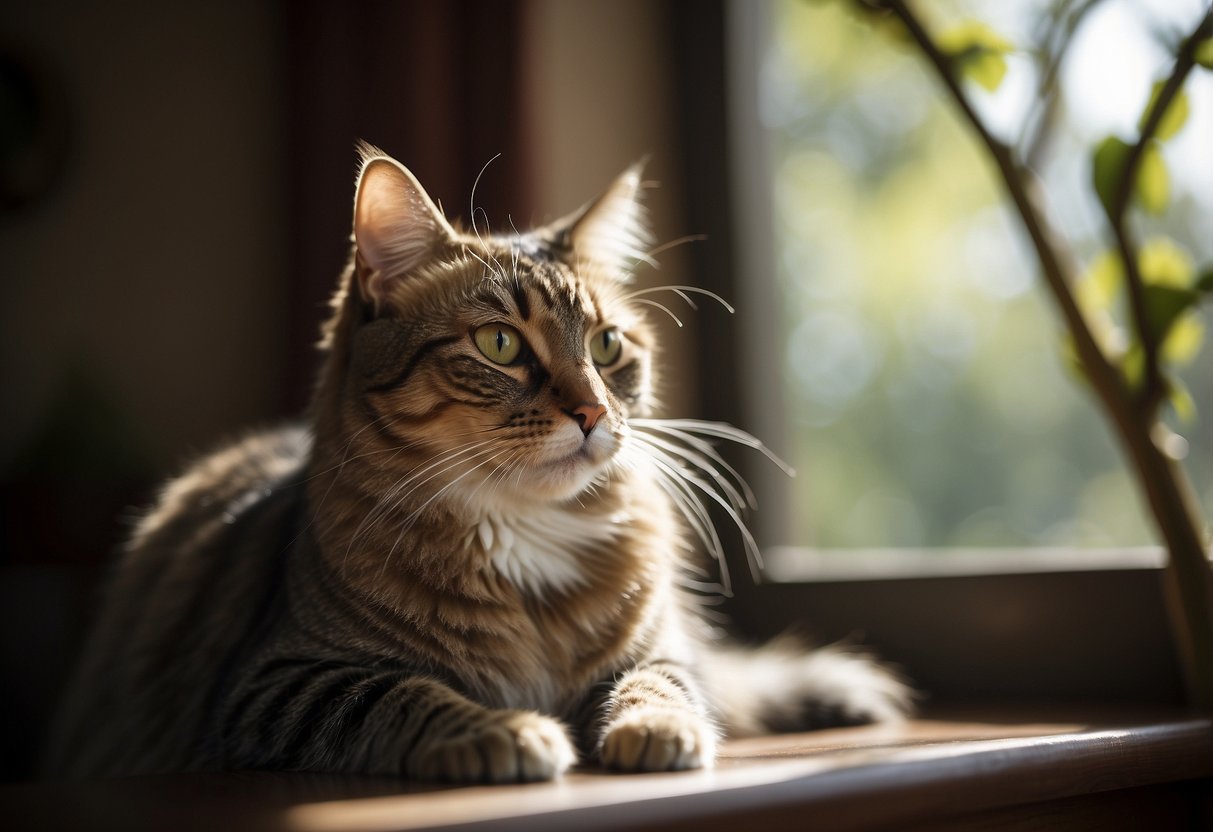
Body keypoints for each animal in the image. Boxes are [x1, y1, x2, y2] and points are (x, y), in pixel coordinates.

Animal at [42, 146, 907, 785]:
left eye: (606, 346)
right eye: (500, 345)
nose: (593, 413)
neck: (526, 535)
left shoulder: (660, 649)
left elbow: (662, 682)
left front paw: (655, 728)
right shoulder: (274, 680)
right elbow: (399, 694)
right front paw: (508, 731)